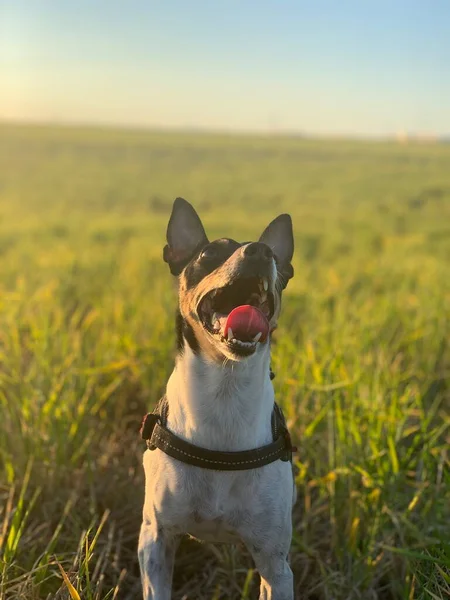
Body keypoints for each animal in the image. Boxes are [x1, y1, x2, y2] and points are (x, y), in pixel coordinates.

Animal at [139, 200, 298, 600]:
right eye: (208, 254)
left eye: (276, 258)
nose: (260, 252)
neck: (225, 393)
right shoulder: (154, 540)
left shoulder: (276, 565)